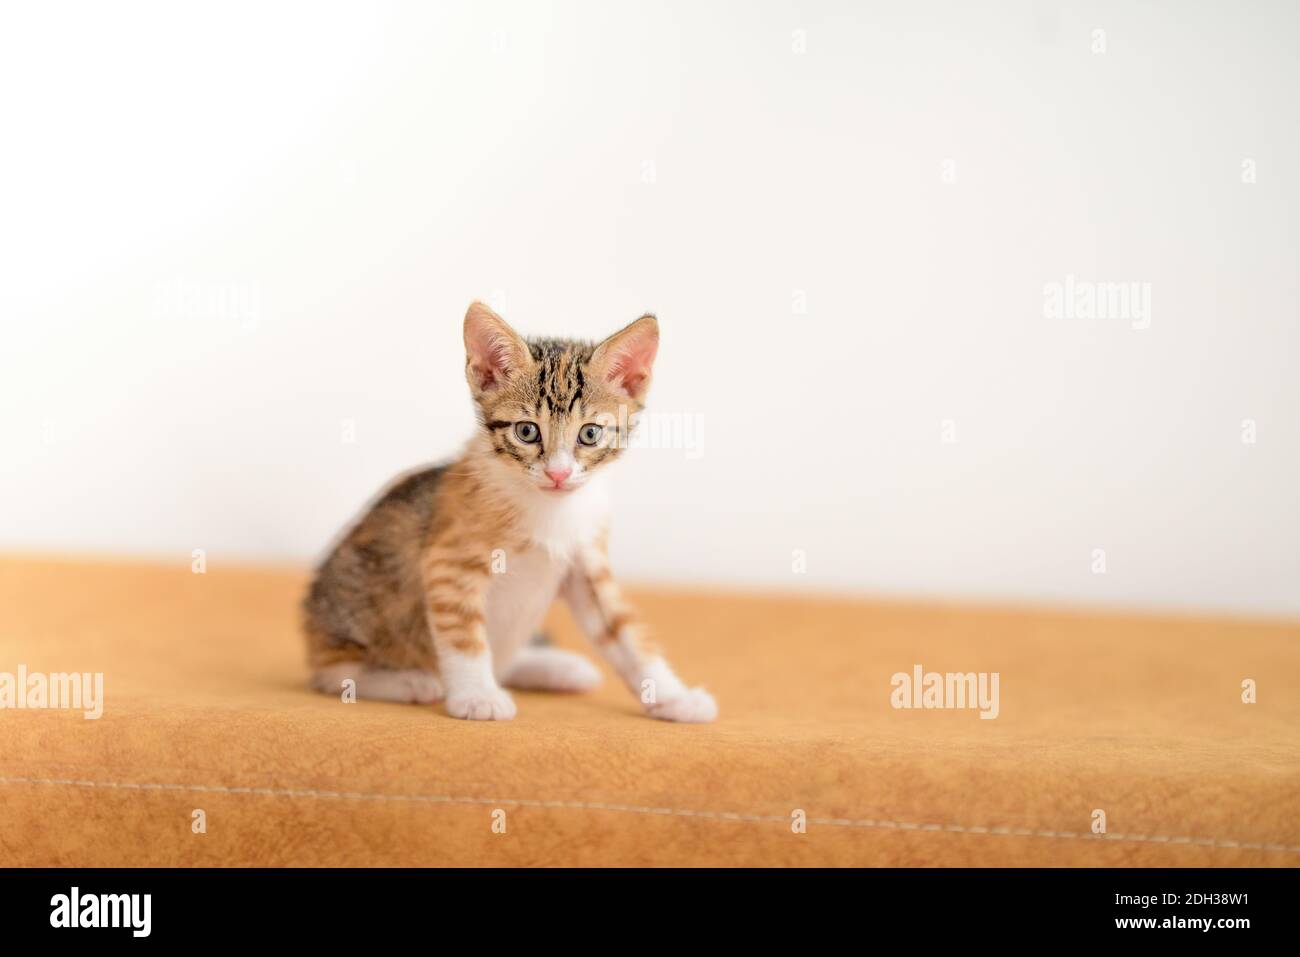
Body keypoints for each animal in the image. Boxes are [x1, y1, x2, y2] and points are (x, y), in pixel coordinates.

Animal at [299, 302, 717, 722]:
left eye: (590, 434)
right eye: (527, 432)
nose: (558, 473)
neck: (550, 509)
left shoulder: (586, 567)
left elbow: (628, 634)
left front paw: (673, 695)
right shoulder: (449, 562)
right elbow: (464, 635)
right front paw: (477, 696)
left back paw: (555, 666)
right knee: (335, 675)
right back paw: (409, 681)